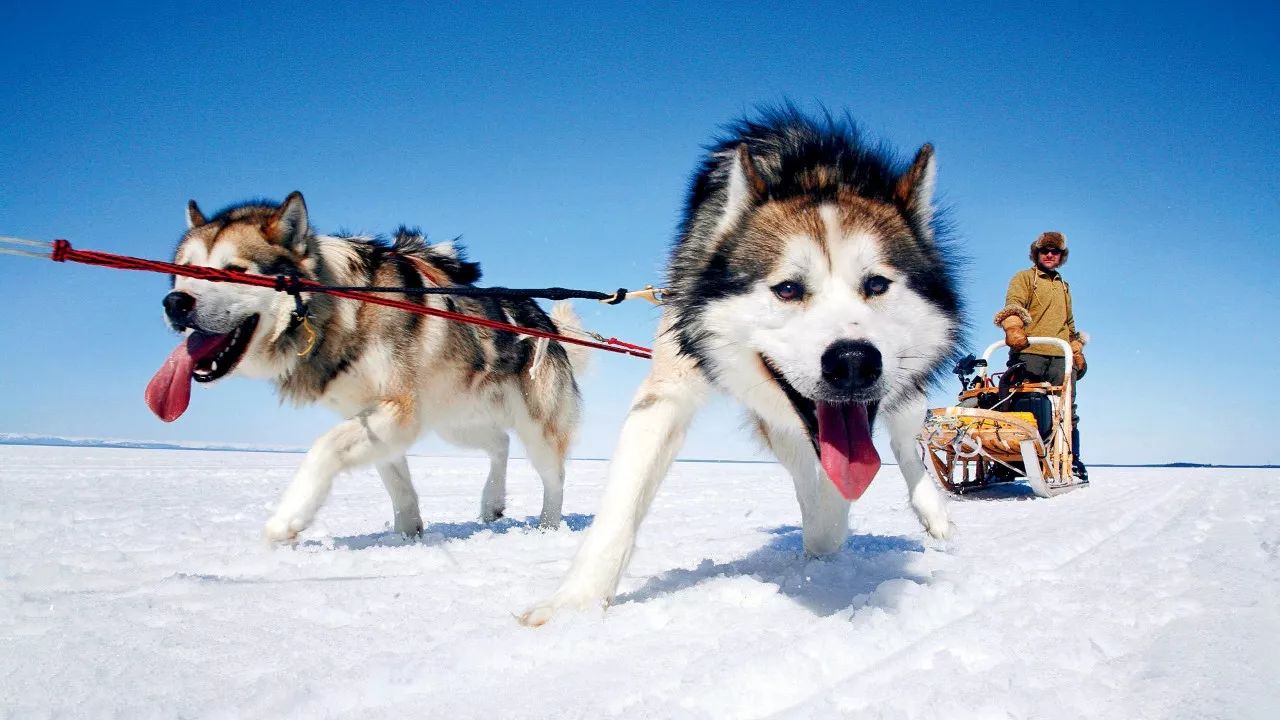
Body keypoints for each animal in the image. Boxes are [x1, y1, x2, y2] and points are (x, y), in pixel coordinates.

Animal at [519, 107, 962, 622]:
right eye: (787, 288)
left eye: (876, 284)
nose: (853, 362)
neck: (815, 170)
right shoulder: (668, 391)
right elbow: (621, 505)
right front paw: (575, 602)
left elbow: (852, 482)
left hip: (904, 395)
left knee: (905, 446)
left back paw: (931, 512)